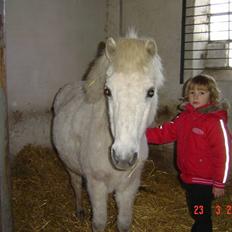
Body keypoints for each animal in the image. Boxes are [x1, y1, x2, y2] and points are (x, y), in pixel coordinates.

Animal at [53, 31, 164, 232]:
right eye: (107, 91)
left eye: (151, 92)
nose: (123, 157)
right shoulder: (96, 186)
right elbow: (98, 223)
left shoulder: (129, 188)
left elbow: (124, 223)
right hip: (69, 166)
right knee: (76, 185)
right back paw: (79, 210)